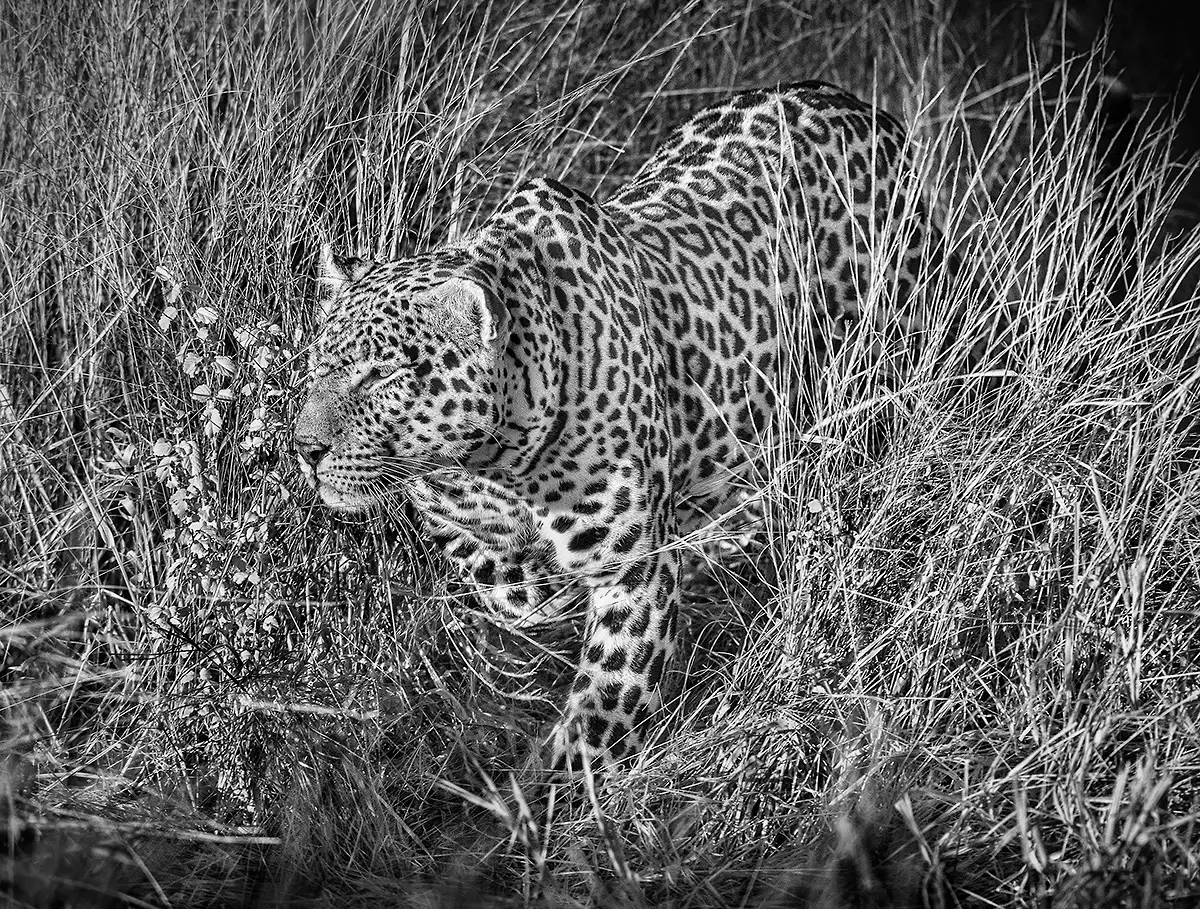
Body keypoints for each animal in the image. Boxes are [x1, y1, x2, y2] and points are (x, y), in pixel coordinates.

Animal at [293, 81, 949, 770]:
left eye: (381, 376)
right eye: (315, 363)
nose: (305, 448)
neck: (495, 465)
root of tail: (846, 100)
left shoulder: (632, 572)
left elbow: (600, 711)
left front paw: (550, 788)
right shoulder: (464, 528)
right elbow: (511, 588)